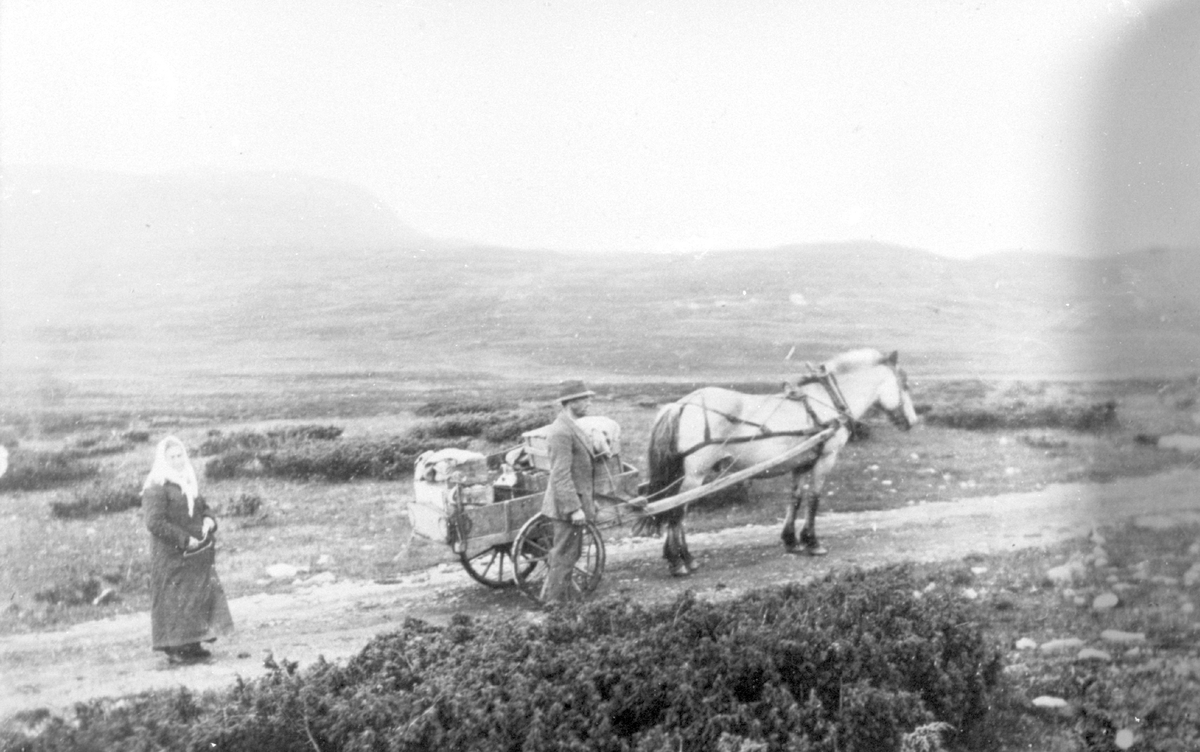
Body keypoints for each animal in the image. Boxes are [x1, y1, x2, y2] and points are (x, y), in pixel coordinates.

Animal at [643, 347, 912, 575]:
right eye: (905, 384)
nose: (912, 421)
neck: (827, 401)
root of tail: (680, 404)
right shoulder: (826, 458)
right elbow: (814, 499)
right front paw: (813, 542)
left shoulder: (801, 463)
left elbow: (796, 498)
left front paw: (791, 540)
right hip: (696, 474)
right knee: (677, 511)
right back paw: (679, 561)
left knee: (676, 509)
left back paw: (683, 558)